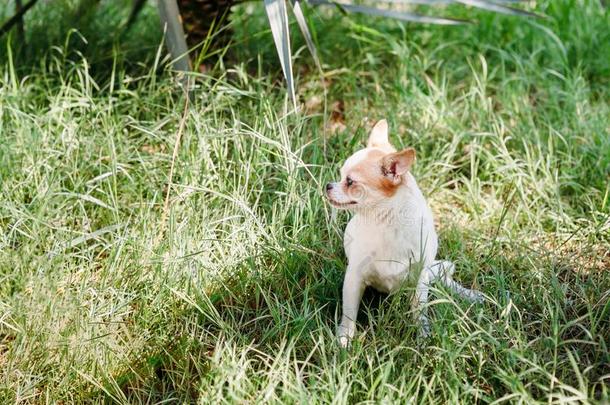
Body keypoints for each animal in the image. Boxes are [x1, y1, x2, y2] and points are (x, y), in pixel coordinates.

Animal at [324, 118, 480, 346]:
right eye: (340, 176)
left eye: (350, 182)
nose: (328, 185)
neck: (384, 222)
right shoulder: (354, 277)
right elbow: (349, 313)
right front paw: (344, 339)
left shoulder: (420, 278)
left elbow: (419, 311)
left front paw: (423, 336)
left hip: (428, 272)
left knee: (442, 278)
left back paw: (469, 295)